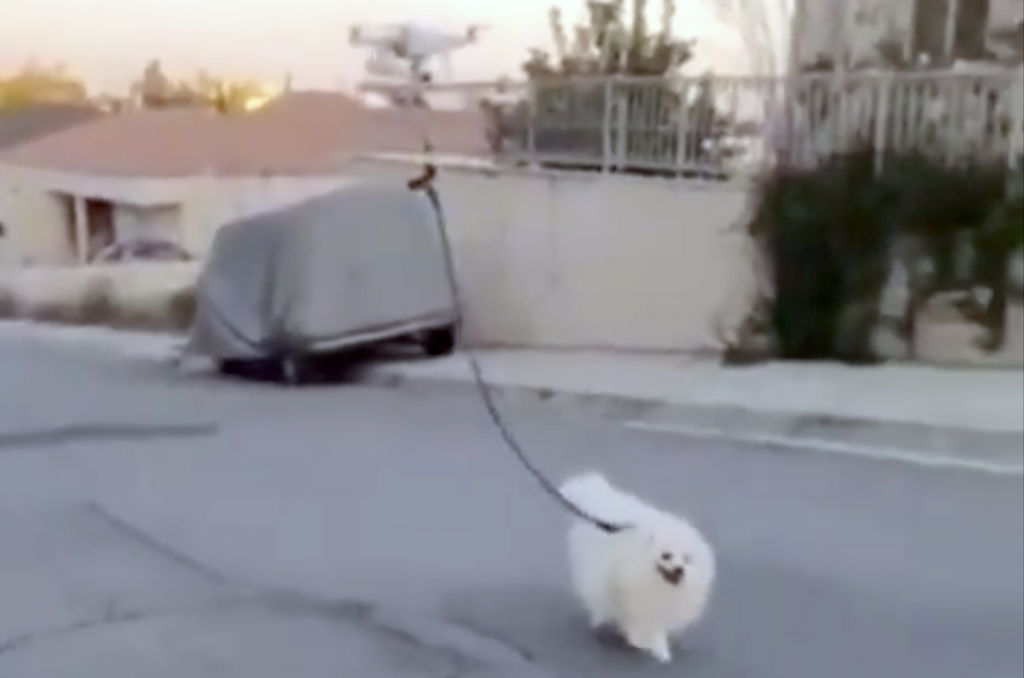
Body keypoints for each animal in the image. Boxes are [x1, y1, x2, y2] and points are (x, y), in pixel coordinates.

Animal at [561, 473, 712, 663]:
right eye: (666, 555)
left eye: (687, 559)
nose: (679, 569)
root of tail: (600, 496)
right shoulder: (630, 595)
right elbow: (638, 622)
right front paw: (645, 643)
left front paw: (660, 649)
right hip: (593, 572)